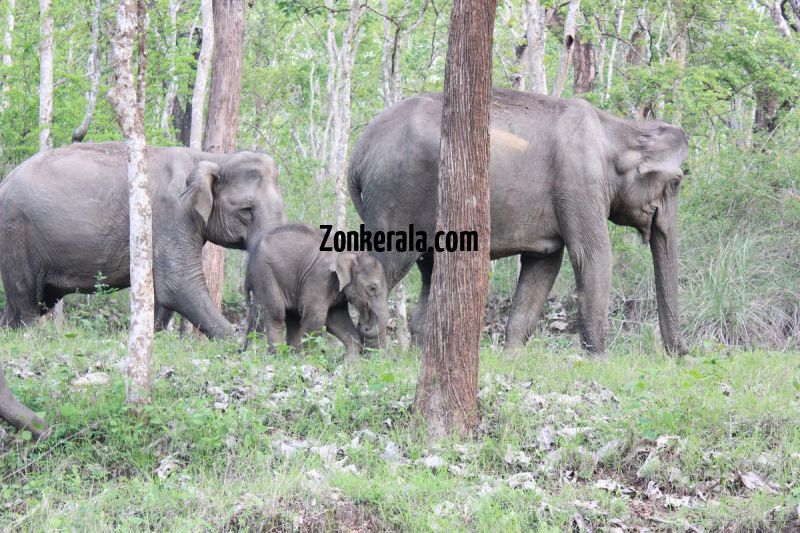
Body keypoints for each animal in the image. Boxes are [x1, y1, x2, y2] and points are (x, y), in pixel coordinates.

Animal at [0, 139, 288, 334]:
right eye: (246, 211)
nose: (251, 336)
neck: (213, 157)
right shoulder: (169, 214)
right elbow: (178, 284)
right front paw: (236, 341)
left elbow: (164, 290)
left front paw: (154, 334)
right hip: (16, 233)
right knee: (25, 297)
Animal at [245, 222, 392, 360]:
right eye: (372, 288)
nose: (363, 325)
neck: (352, 251)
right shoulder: (320, 277)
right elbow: (316, 316)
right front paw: (307, 359)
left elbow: (336, 319)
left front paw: (349, 365)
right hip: (264, 274)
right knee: (276, 313)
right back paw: (278, 356)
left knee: (293, 318)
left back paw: (291, 356)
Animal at [346, 88, 692, 354]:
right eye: (676, 183)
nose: (682, 354)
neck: (620, 129)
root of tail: (359, 151)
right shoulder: (579, 181)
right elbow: (591, 255)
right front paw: (597, 359)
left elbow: (543, 266)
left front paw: (512, 355)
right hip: (397, 196)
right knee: (383, 267)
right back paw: (377, 354)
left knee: (429, 272)